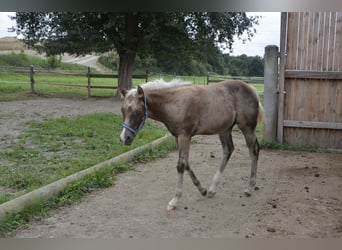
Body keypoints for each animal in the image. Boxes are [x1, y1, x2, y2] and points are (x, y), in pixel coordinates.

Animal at [119, 78, 264, 211]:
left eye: (137, 112)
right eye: (122, 110)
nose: (124, 138)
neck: (174, 103)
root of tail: (252, 89)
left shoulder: (184, 136)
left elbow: (180, 165)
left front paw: (175, 200)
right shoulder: (178, 137)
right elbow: (186, 162)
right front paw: (202, 189)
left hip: (247, 128)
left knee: (254, 151)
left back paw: (250, 187)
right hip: (225, 129)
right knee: (228, 150)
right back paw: (212, 189)